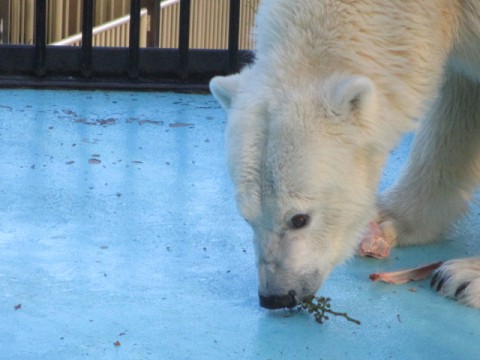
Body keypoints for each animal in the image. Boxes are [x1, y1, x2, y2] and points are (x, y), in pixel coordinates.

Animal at [209, 0, 480, 310]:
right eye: (246, 217)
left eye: (300, 219)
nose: (275, 297)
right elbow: (458, 106)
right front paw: (386, 220)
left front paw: (464, 276)